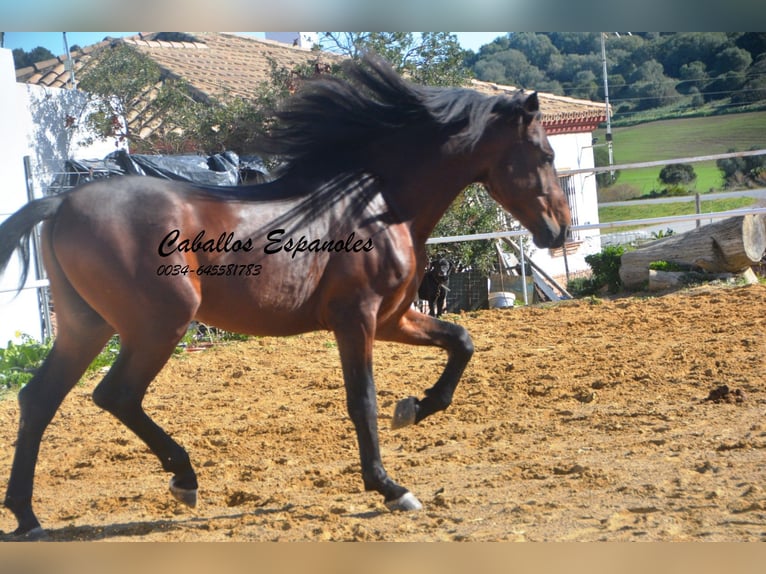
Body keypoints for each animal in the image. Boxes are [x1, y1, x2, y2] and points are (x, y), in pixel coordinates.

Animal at [0, 55, 568, 540]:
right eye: (546, 154)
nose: (558, 230)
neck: (378, 205)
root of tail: (62, 202)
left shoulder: (394, 318)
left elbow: (462, 341)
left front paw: (413, 409)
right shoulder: (357, 318)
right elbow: (362, 400)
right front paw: (390, 488)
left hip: (88, 326)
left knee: (39, 399)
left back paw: (27, 517)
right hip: (160, 325)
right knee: (114, 395)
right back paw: (184, 480)